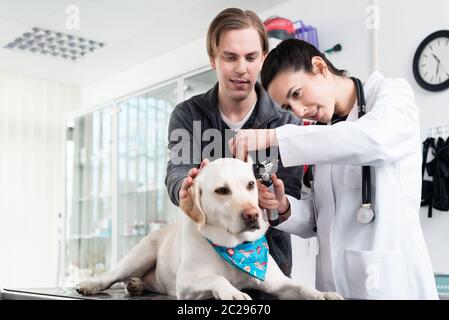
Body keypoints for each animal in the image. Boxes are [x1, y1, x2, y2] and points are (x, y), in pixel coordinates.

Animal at [77, 158, 342, 300]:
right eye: (222, 190)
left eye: (250, 185)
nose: (253, 215)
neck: (237, 248)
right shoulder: (186, 281)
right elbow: (217, 278)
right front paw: (234, 292)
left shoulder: (276, 282)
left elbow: (302, 287)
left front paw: (323, 294)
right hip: (140, 255)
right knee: (112, 276)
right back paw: (91, 285)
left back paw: (136, 285)